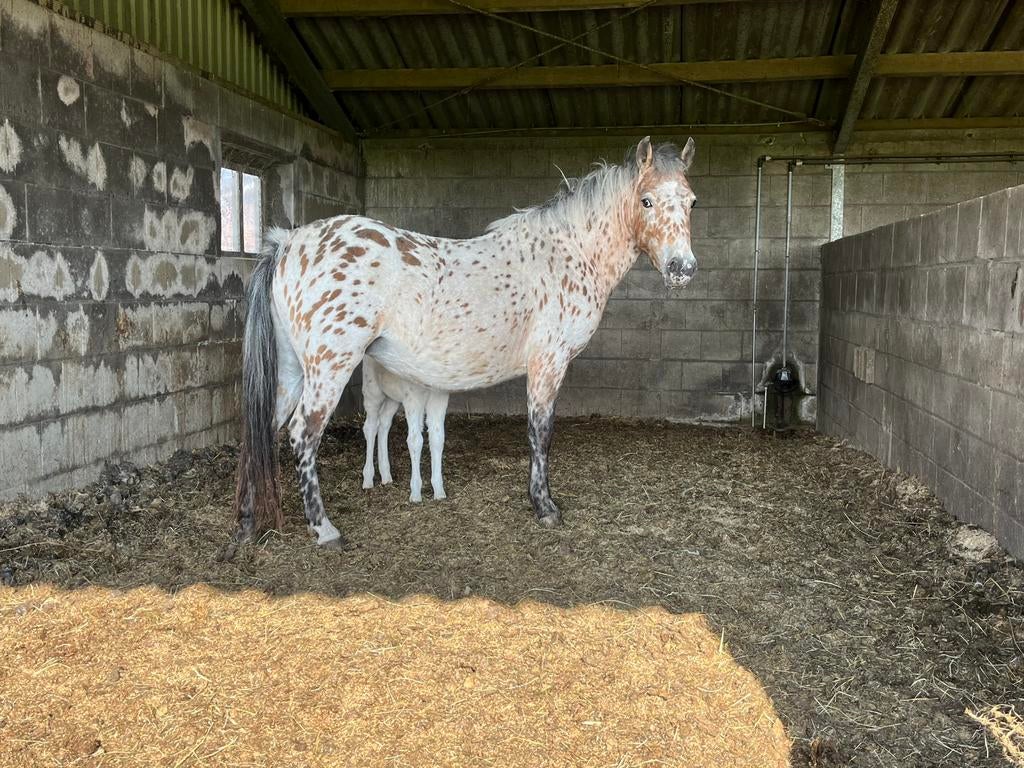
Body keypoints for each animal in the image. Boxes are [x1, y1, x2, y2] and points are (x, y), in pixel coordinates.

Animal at [360, 356, 450, 502]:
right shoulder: (412, 397)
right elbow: (415, 440)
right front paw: (415, 493)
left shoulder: (439, 397)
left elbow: (437, 438)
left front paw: (439, 491)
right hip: (372, 389)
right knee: (370, 426)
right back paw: (368, 479)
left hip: (392, 397)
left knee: (384, 422)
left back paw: (386, 475)